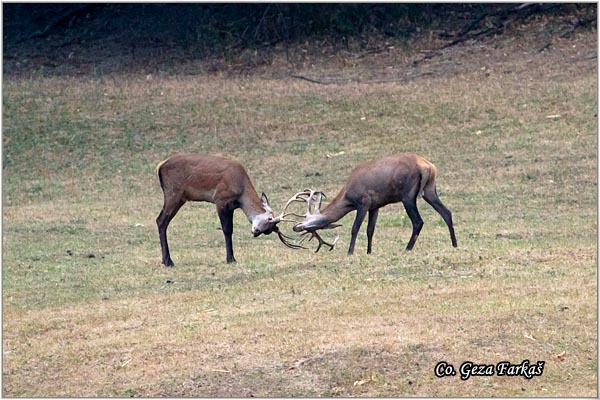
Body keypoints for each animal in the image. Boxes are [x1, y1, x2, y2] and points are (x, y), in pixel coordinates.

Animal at [156, 153, 300, 266]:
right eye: (269, 219)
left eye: (268, 231)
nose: (256, 232)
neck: (241, 192)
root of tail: (160, 166)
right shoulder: (220, 199)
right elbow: (226, 229)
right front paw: (231, 259)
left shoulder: (231, 206)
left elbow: (230, 229)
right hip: (173, 194)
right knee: (161, 220)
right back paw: (168, 261)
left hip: (179, 198)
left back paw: (165, 260)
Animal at [288, 153, 458, 253]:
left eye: (310, 222)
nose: (295, 227)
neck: (348, 196)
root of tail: (428, 166)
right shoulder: (375, 206)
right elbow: (370, 230)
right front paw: (369, 252)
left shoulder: (363, 203)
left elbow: (355, 228)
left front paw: (350, 252)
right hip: (430, 190)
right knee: (447, 212)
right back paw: (454, 244)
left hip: (408, 195)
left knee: (418, 221)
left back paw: (407, 248)